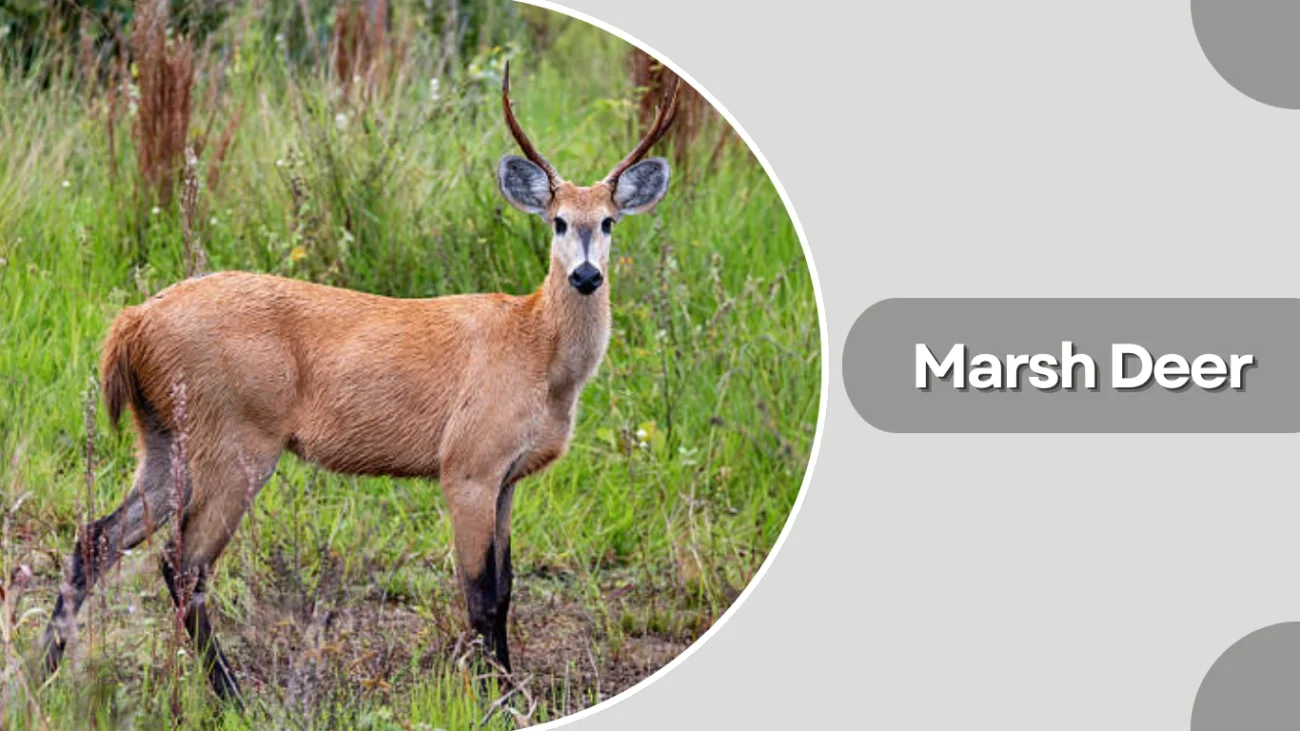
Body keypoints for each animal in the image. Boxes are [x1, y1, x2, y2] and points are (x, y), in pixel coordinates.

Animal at [39, 62, 681, 702]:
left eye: (608, 222)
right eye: (558, 221)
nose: (586, 275)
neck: (537, 350)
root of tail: (131, 324)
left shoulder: (507, 479)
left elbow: (504, 591)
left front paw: (506, 688)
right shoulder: (467, 465)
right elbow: (477, 594)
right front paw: (491, 700)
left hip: (163, 440)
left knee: (95, 539)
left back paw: (39, 673)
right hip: (234, 443)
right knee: (183, 565)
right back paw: (233, 696)